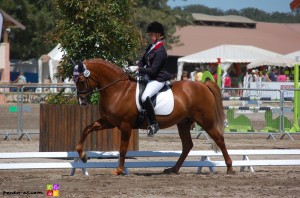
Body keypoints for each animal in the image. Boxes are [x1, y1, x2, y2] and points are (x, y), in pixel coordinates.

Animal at [72, 58, 234, 175]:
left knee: (219, 139)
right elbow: (86, 129)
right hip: (183, 123)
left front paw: (118, 170)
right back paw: (173, 170)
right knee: (187, 145)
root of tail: (203, 85)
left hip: (206, 121)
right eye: (74, 80)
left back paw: (230, 168)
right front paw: (83, 156)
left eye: (81, 80)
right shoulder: (108, 122)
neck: (118, 90)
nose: (82, 102)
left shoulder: (125, 125)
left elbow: (123, 149)